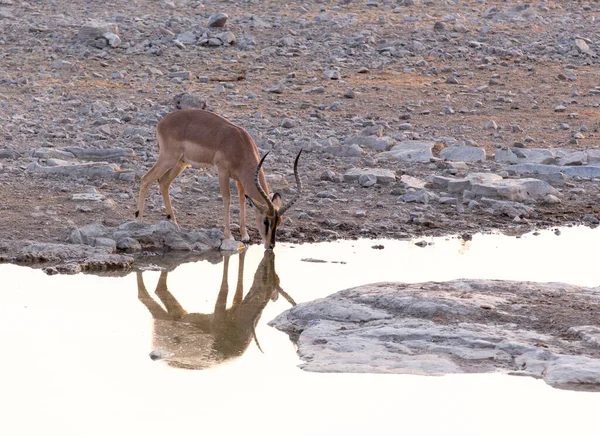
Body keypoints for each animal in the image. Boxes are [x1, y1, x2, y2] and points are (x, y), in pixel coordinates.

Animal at [137, 109, 304, 249]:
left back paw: (174, 223)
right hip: (168, 158)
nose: (271, 245)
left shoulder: (239, 179)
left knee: (163, 182)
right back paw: (139, 221)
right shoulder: (223, 172)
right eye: (266, 221)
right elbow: (227, 199)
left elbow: (242, 200)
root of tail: (162, 122)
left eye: (279, 221)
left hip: (181, 163)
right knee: (145, 179)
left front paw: (245, 235)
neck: (239, 145)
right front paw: (228, 236)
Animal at [137, 249, 296, 368]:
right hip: (164, 317)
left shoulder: (234, 307)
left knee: (159, 290)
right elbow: (224, 289)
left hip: (176, 314)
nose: (264, 263)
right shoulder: (218, 316)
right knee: (146, 294)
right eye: (266, 276)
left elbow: (238, 291)